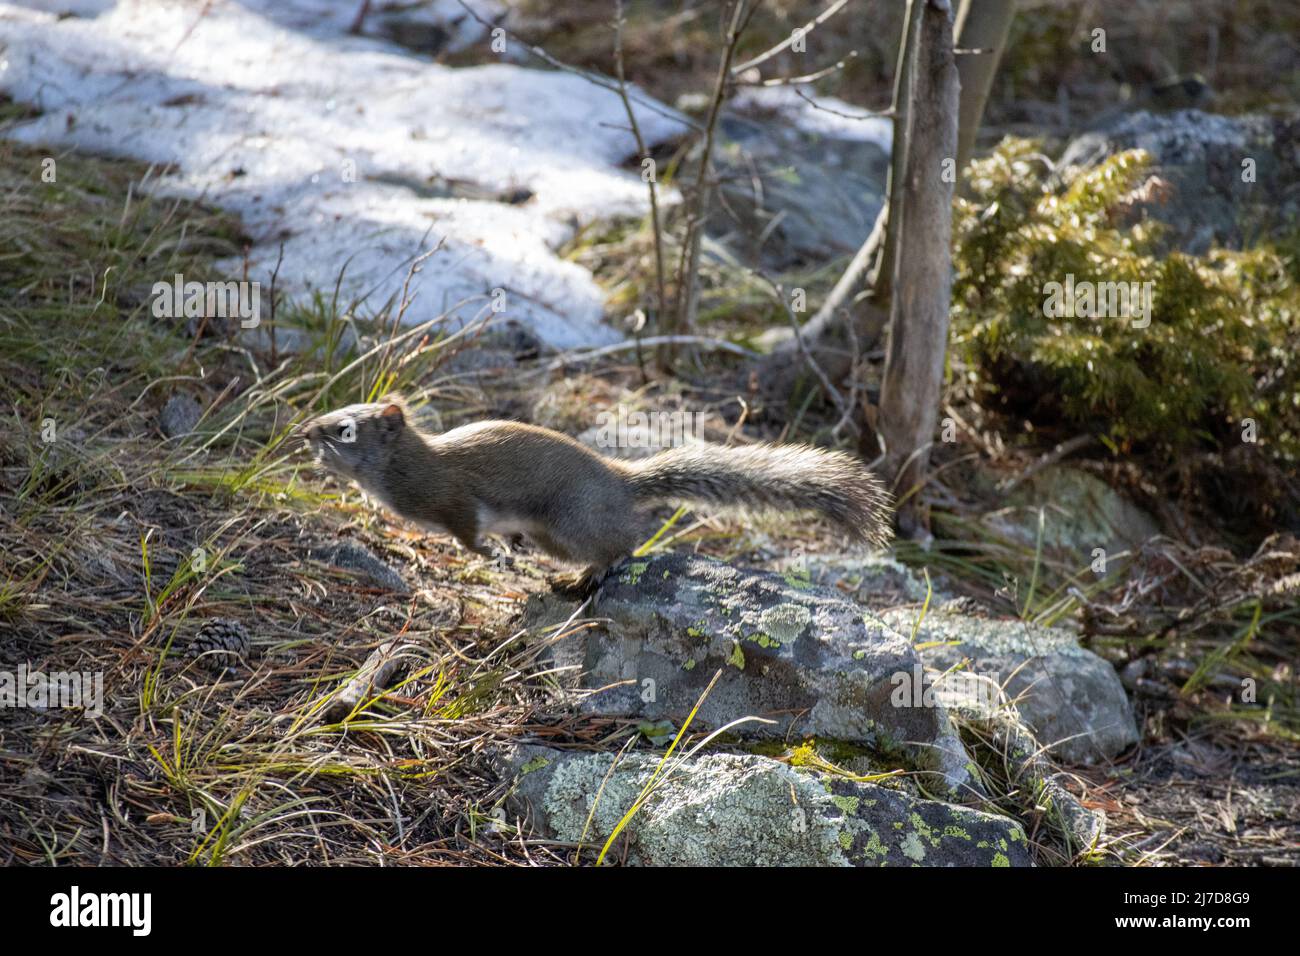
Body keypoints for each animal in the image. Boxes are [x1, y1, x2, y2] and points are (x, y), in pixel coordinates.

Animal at [299, 396, 893, 595]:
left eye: (345, 428)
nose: (303, 431)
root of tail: (618, 479)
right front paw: (505, 549)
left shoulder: (455, 499)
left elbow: (469, 534)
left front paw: (489, 553)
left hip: (570, 523)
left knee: (624, 544)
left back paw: (588, 575)